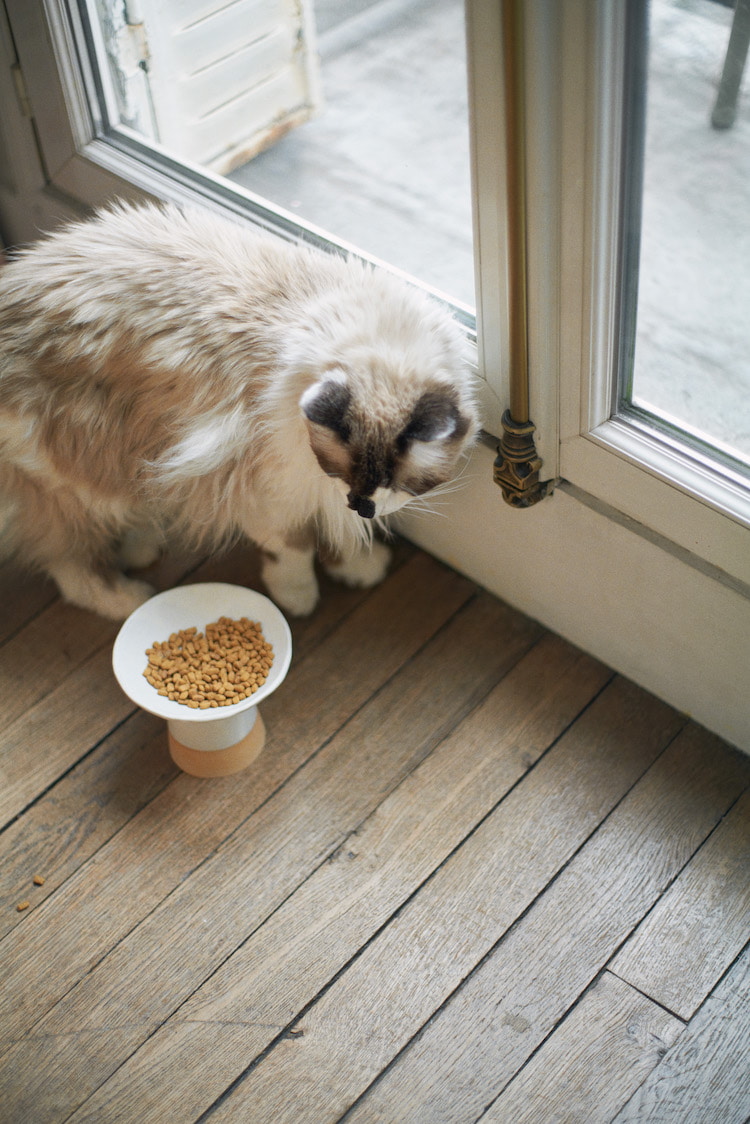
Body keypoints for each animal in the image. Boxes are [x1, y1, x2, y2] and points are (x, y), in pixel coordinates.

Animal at [0, 206, 479, 620]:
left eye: (394, 481)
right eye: (348, 470)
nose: (364, 506)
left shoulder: (314, 489)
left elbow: (337, 535)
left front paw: (358, 569)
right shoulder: (272, 494)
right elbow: (296, 550)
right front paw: (299, 598)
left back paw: (140, 545)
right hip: (81, 483)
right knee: (72, 567)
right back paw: (131, 596)